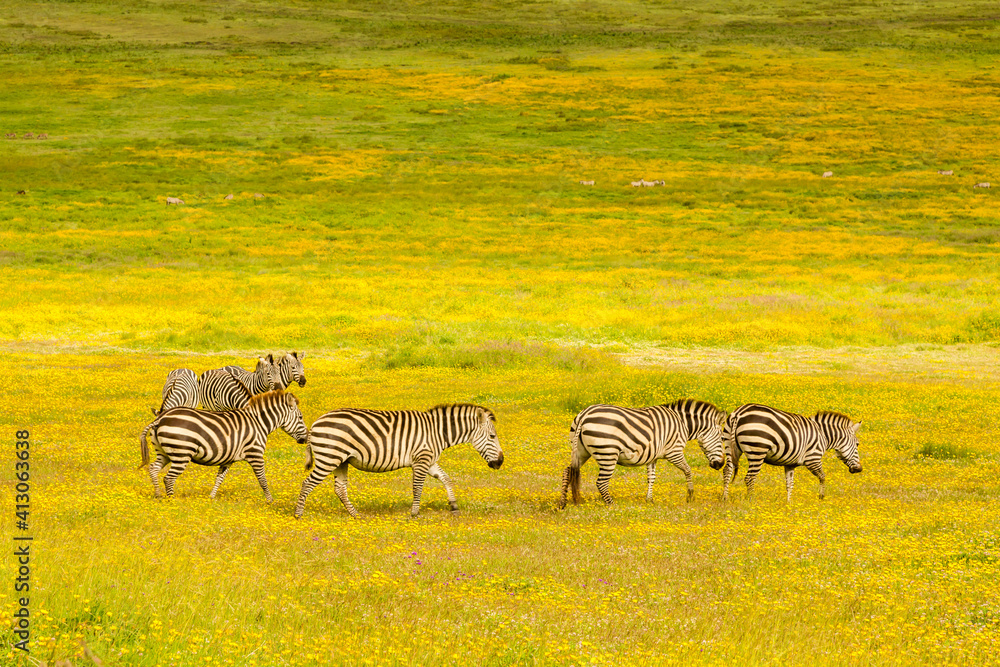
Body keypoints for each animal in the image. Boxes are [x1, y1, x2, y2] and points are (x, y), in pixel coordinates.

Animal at [138, 390, 308, 501]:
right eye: (300, 417)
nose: (306, 438)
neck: (259, 423)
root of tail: (161, 418)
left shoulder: (228, 459)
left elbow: (219, 479)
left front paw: (211, 498)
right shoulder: (256, 454)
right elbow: (262, 479)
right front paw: (270, 501)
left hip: (164, 453)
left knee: (153, 469)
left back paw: (158, 496)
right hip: (182, 452)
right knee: (169, 478)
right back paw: (171, 501)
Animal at [294, 404, 503, 519]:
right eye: (492, 436)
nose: (500, 462)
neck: (437, 432)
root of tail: (315, 424)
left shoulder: (429, 460)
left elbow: (446, 478)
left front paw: (453, 505)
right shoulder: (421, 459)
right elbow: (417, 487)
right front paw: (414, 513)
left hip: (340, 460)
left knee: (339, 489)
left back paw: (355, 515)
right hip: (328, 458)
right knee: (307, 483)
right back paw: (298, 515)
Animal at [559, 399, 727, 508]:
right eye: (720, 438)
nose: (720, 464)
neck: (683, 424)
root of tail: (585, 414)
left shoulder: (652, 456)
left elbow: (651, 478)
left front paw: (649, 500)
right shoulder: (674, 451)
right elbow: (688, 470)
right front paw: (690, 496)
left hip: (581, 451)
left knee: (568, 471)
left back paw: (563, 503)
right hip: (608, 453)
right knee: (601, 482)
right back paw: (612, 505)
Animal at [722, 404, 862, 502]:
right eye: (857, 444)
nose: (859, 469)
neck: (823, 435)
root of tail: (739, 413)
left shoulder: (789, 464)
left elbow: (790, 484)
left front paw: (789, 503)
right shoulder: (813, 459)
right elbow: (822, 477)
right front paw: (821, 497)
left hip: (730, 447)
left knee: (727, 471)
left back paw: (725, 498)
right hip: (757, 450)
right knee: (750, 477)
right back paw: (751, 500)